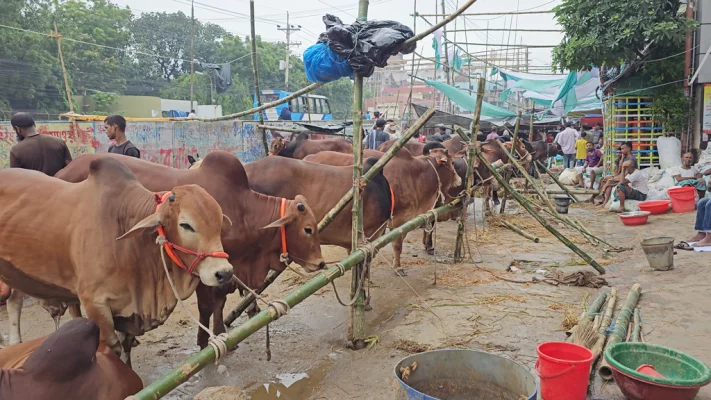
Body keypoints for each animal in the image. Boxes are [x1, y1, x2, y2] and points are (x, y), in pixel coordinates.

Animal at [0, 158, 234, 364]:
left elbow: (127, 345)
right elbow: (113, 349)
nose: (225, 273)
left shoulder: (129, 312)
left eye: (219, 220)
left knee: (14, 301)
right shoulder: (96, 305)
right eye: (185, 225)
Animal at [54, 152, 326, 352]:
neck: (243, 211)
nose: (321, 263)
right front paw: (206, 341)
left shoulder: (225, 272)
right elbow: (208, 307)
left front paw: (223, 334)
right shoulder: (206, 273)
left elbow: (220, 304)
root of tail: (62, 171)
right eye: (308, 229)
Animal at [294, 147, 464, 276]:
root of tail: (310, 155)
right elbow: (397, 246)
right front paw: (398, 267)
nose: (460, 180)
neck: (415, 174)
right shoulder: (397, 221)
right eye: (452, 162)